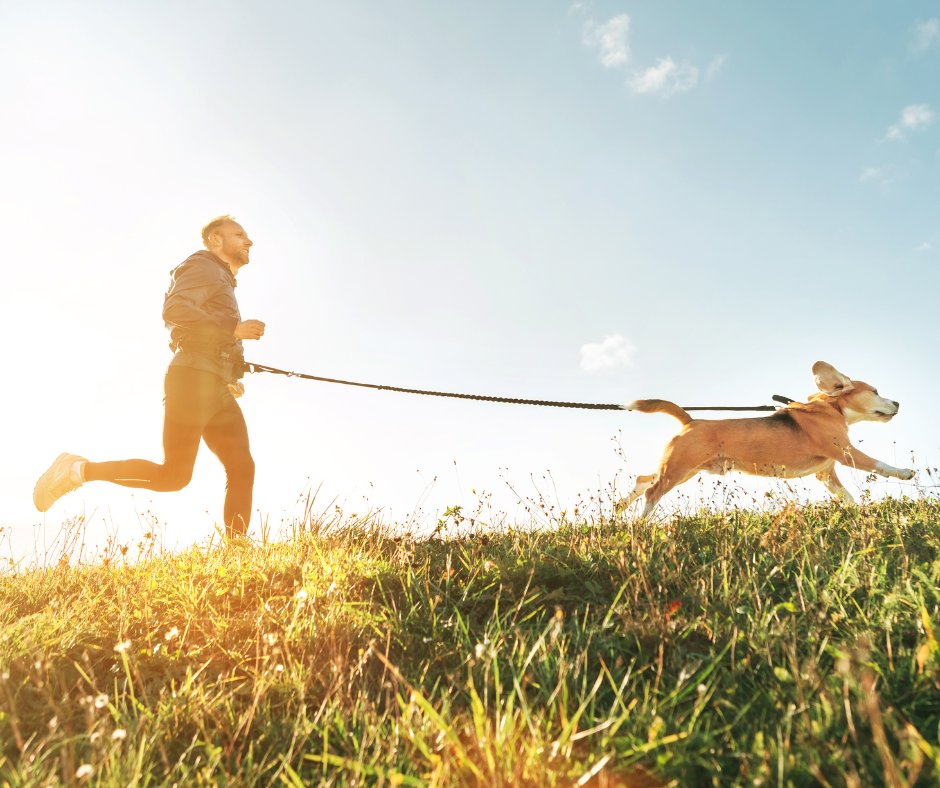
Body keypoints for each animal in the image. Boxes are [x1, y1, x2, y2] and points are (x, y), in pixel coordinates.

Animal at [616, 362, 916, 520]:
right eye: (875, 392)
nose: (898, 403)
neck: (831, 408)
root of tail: (690, 420)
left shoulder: (826, 474)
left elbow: (847, 496)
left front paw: (857, 513)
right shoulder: (846, 452)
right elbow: (879, 464)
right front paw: (905, 473)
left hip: (684, 469)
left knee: (643, 480)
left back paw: (621, 510)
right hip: (679, 468)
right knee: (652, 492)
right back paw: (641, 523)